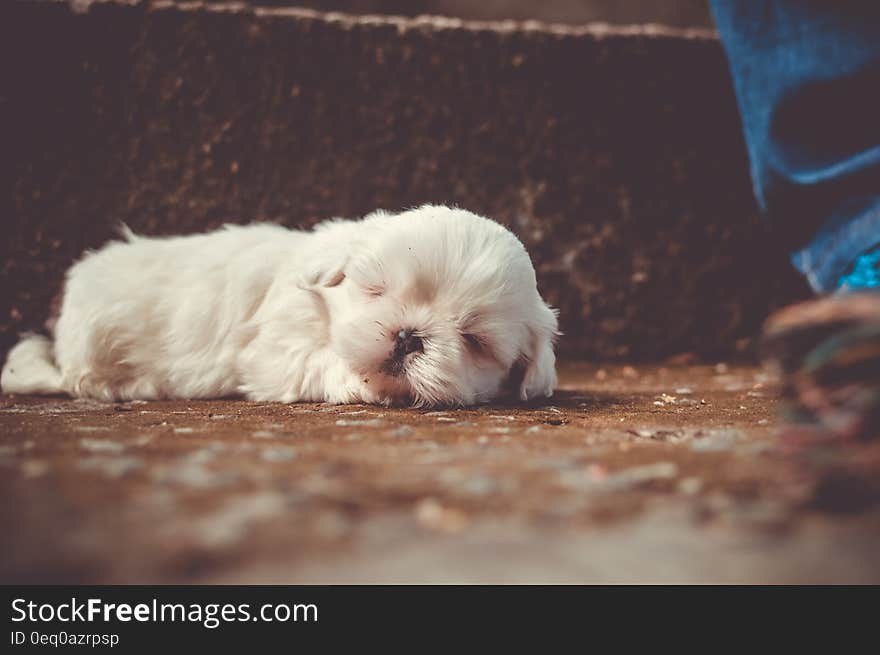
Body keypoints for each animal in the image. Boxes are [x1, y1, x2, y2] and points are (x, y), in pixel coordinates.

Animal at [0, 208, 560, 408]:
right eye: (376, 290)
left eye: (474, 340)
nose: (408, 335)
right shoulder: (274, 352)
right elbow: (321, 362)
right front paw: (365, 383)